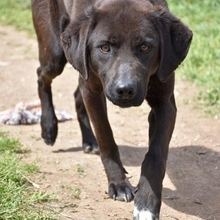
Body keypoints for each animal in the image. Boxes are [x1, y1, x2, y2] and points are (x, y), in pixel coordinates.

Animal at [31, 0, 192, 219]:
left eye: (145, 47)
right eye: (105, 47)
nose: (125, 90)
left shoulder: (164, 103)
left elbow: (156, 155)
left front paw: (146, 204)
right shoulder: (93, 92)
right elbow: (106, 138)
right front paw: (118, 183)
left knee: (76, 95)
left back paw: (89, 141)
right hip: (57, 53)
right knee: (42, 76)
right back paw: (49, 127)